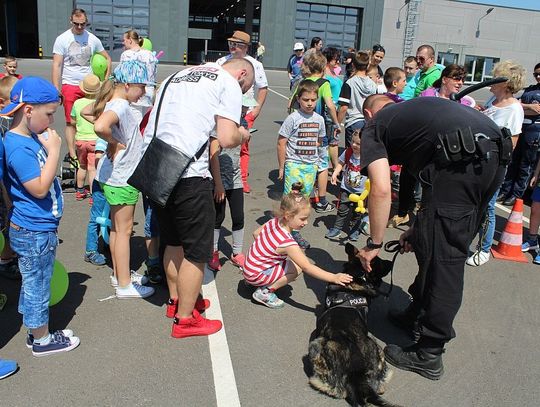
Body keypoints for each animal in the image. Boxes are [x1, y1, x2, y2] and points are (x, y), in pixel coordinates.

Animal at [306, 244, 398, 406]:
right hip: (374, 343)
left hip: (316, 344)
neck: (355, 277)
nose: (391, 262)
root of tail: (355, 372)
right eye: (378, 261)